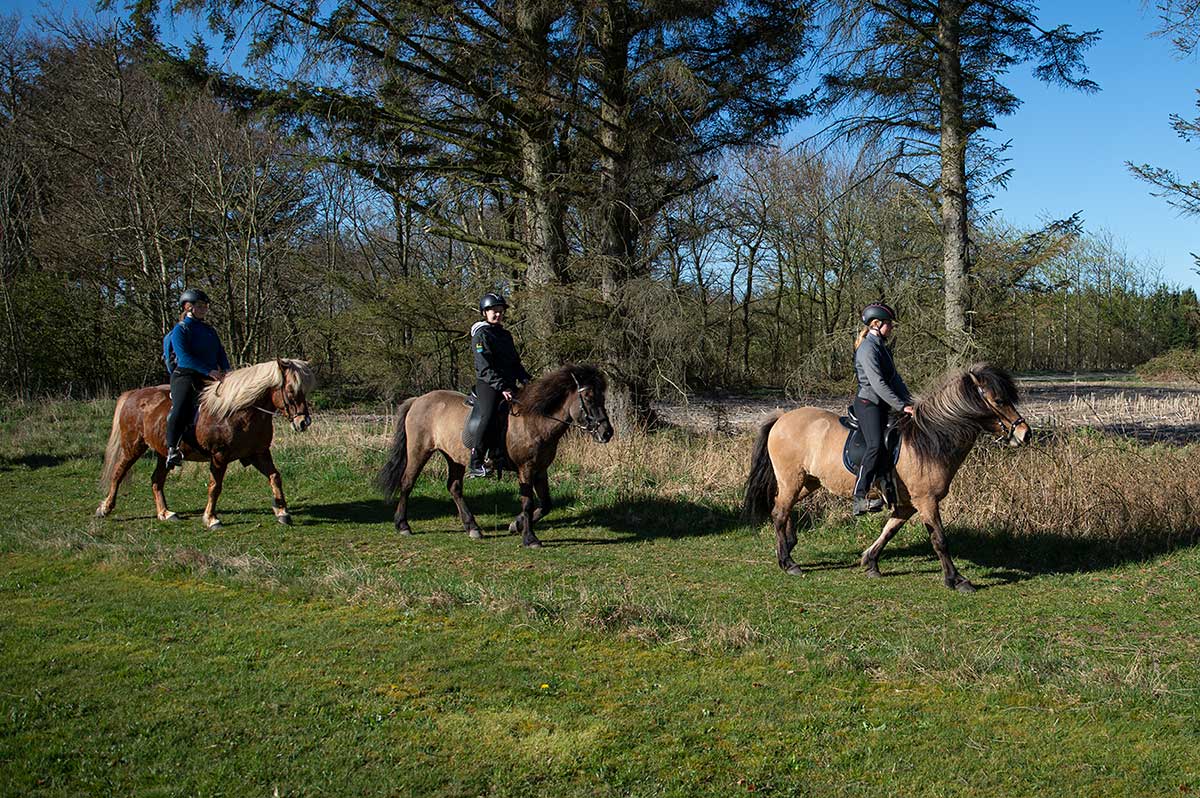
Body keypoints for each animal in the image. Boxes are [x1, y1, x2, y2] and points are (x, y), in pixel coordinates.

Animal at [96, 357, 316, 525]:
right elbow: (215, 486)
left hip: (162, 454)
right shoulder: (219, 456)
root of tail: (133, 394)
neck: (239, 413)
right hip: (133, 447)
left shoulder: (258, 453)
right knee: (118, 473)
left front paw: (282, 512)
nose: (303, 422)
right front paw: (211, 518)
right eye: (290, 390)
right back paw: (105, 508)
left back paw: (165, 513)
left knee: (156, 480)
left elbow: (275, 477)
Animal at [376, 364, 619, 544]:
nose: (606, 432)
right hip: (419, 451)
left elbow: (546, 504)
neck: (535, 420)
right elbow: (527, 502)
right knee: (407, 482)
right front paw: (529, 537)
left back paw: (472, 527)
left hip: (454, 457)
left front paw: (516, 525)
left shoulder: (540, 469)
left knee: (454, 488)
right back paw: (403, 525)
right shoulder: (526, 468)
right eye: (589, 397)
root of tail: (418, 400)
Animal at [739, 364, 1032, 588]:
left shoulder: (908, 503)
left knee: (783, 507)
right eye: (999, 401)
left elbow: (889, 530)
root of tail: (782, 417)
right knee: (779, 512)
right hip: (793, 479)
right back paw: (788, 562)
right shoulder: (926, 501)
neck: (929, 440)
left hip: (807, 482)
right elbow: (939, 540)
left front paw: (870, 561)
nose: (1025, 434)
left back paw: (789, 545)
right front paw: (956, 579)